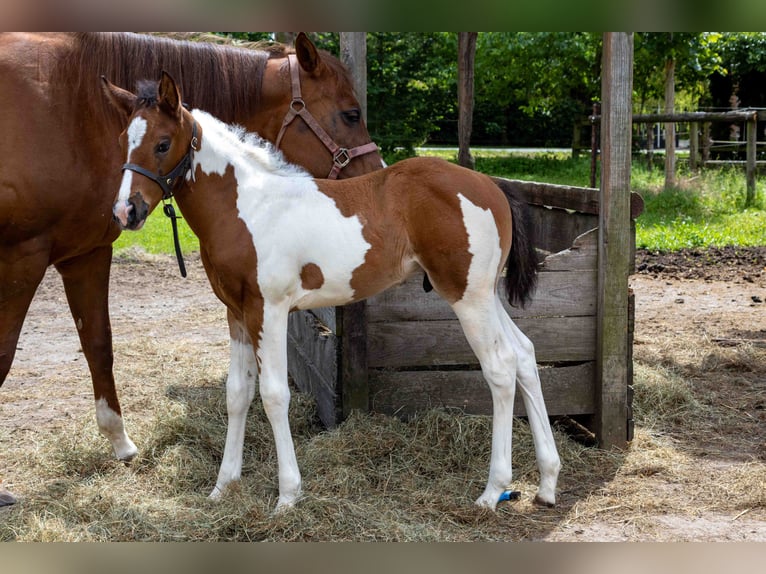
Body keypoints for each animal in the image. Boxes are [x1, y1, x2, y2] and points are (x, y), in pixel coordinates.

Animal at [0, 33, 382, 503]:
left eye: (161, 144)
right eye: (351, 113)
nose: (375, 174)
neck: (71, 111)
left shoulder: (84, 252)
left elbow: (98, 343)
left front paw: (121, 443)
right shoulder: (25, 255)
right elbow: (7, 355)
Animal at [102, 72, 561, 512]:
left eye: (163, 143)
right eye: (125, 141)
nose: (126, 211)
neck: (247, 206)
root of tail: (491, 185)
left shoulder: (268, 309)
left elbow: (273, 394)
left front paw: (288, 495)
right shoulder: (236, 311)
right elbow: (237, 393)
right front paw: (223, 487)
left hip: (467, 296)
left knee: (500, 367)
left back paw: (493, 490)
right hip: (486, 294)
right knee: (524, 354)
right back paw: (547, 483)